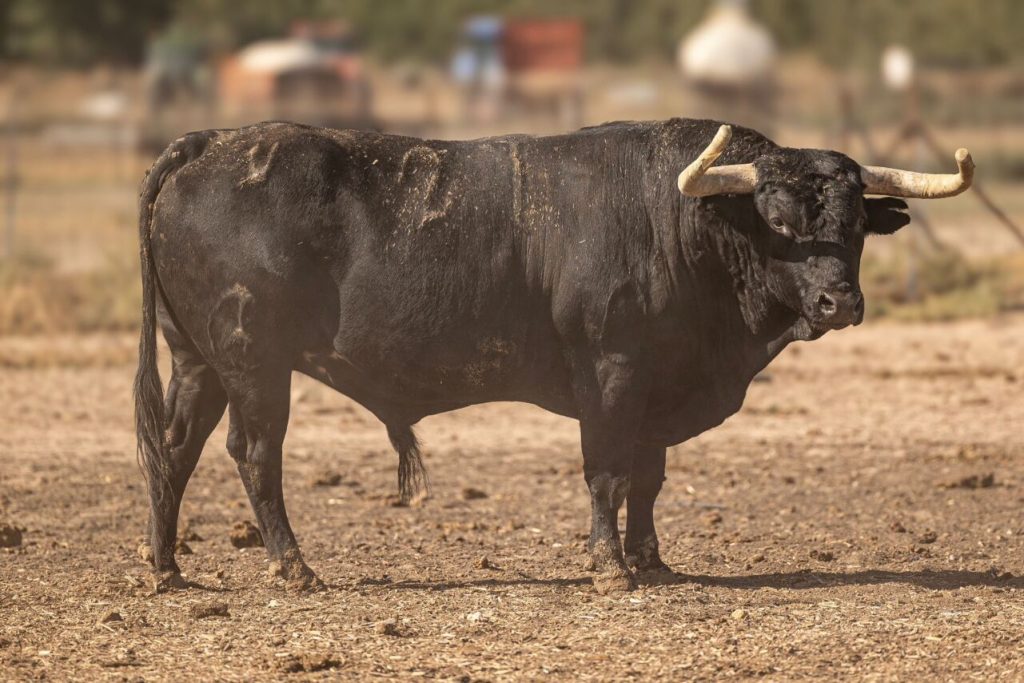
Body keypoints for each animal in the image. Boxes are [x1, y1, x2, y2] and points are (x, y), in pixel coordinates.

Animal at [134, 118, 921, 593]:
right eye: (779, 220)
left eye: (856, 225)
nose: (840, 302)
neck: (674, 220)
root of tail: (210, 141)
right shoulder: (611, 375)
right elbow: (608, 474)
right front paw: (609, 566)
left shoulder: (657, 389)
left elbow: (648, 478)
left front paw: (651, 560)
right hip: (253, 363)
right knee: (253, 453)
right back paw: (293, 567)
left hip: (197, 362)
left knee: (173, 450)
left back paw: (167, 566)